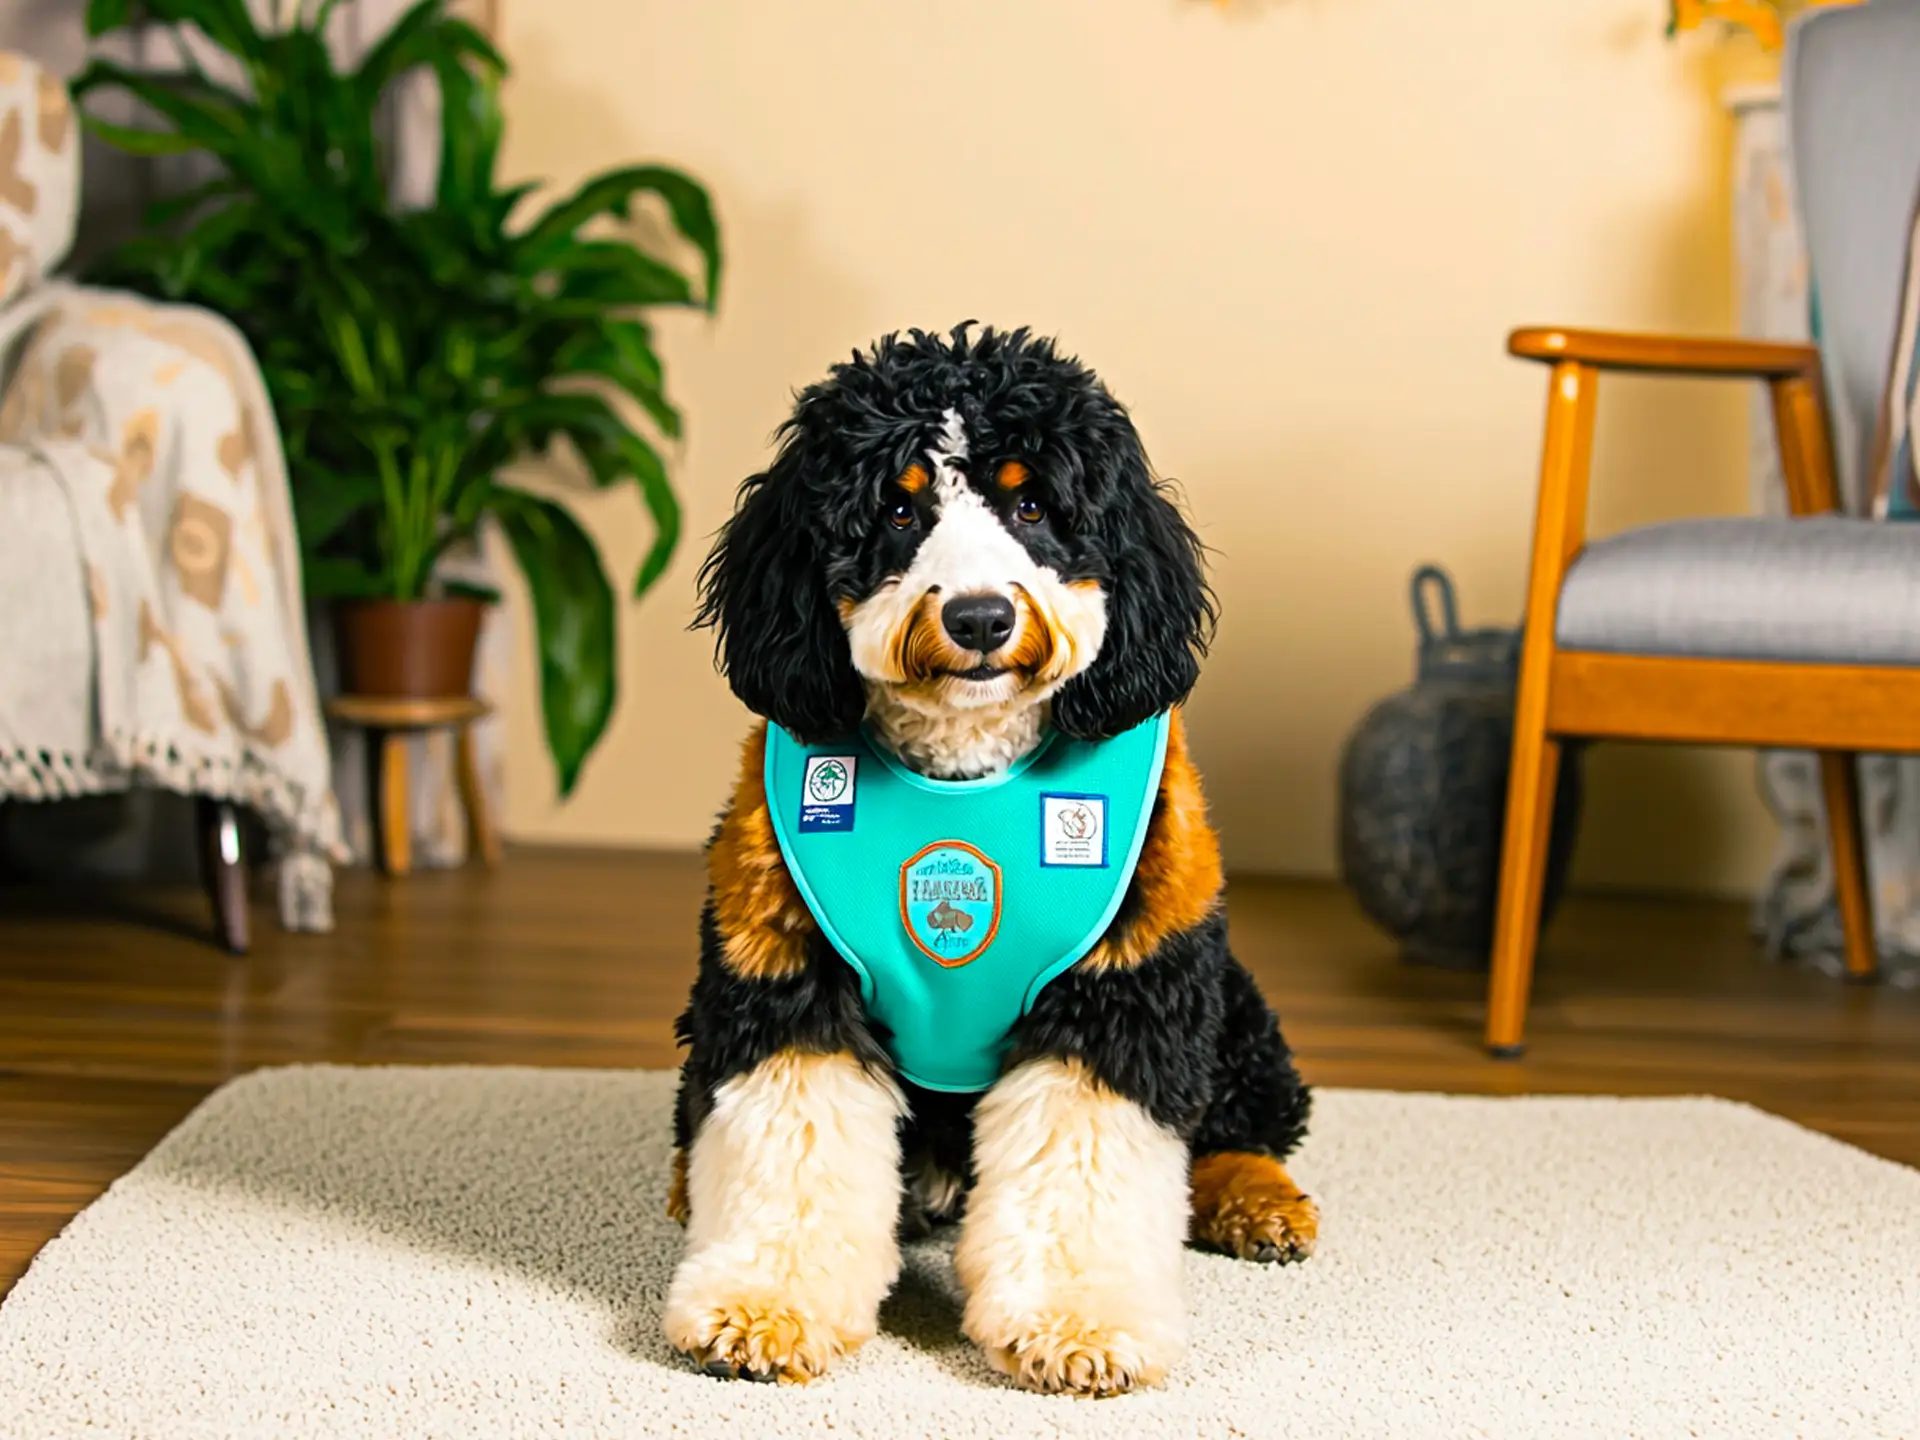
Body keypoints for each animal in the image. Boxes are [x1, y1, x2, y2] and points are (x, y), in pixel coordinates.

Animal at [664, 324, 1320, 1397]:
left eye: (1032, 504)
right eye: (898, 506)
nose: (978, 618)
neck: (964, 764)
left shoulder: (1121, 1001)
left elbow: (1084, 1169)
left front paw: (1080, 1325)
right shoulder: (785, 982)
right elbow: (793, 1146)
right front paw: (764, 1307)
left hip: (1231, 1001)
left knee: (1240, 1123)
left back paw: (1258, 1203)